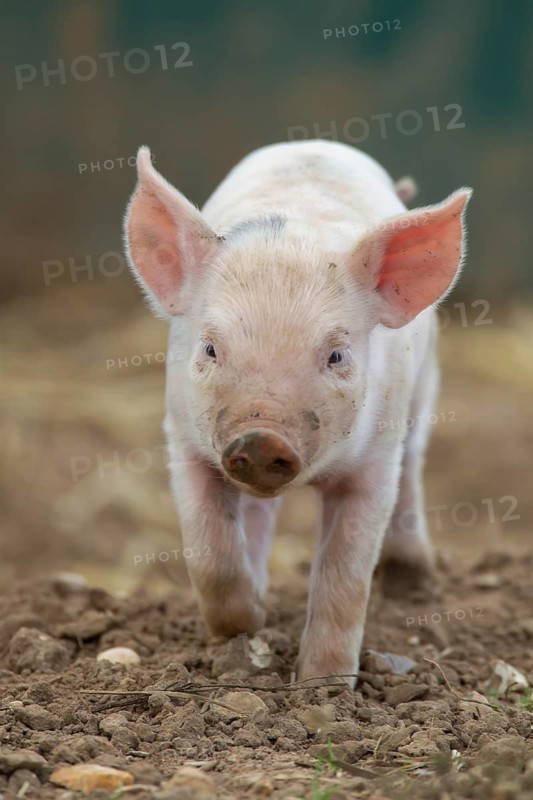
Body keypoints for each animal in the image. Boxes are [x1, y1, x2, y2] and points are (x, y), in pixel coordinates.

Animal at [124, 140, 472, 685]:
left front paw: (322, 688)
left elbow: (346, 578)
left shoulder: (375, 461)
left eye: (337, 355)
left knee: (414, 465)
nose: (261, 437)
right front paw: (247, 626)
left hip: (424, 390)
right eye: (209, 349)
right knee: (258, 518)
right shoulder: (183, 439)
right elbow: (210, 556)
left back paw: (412, 580)